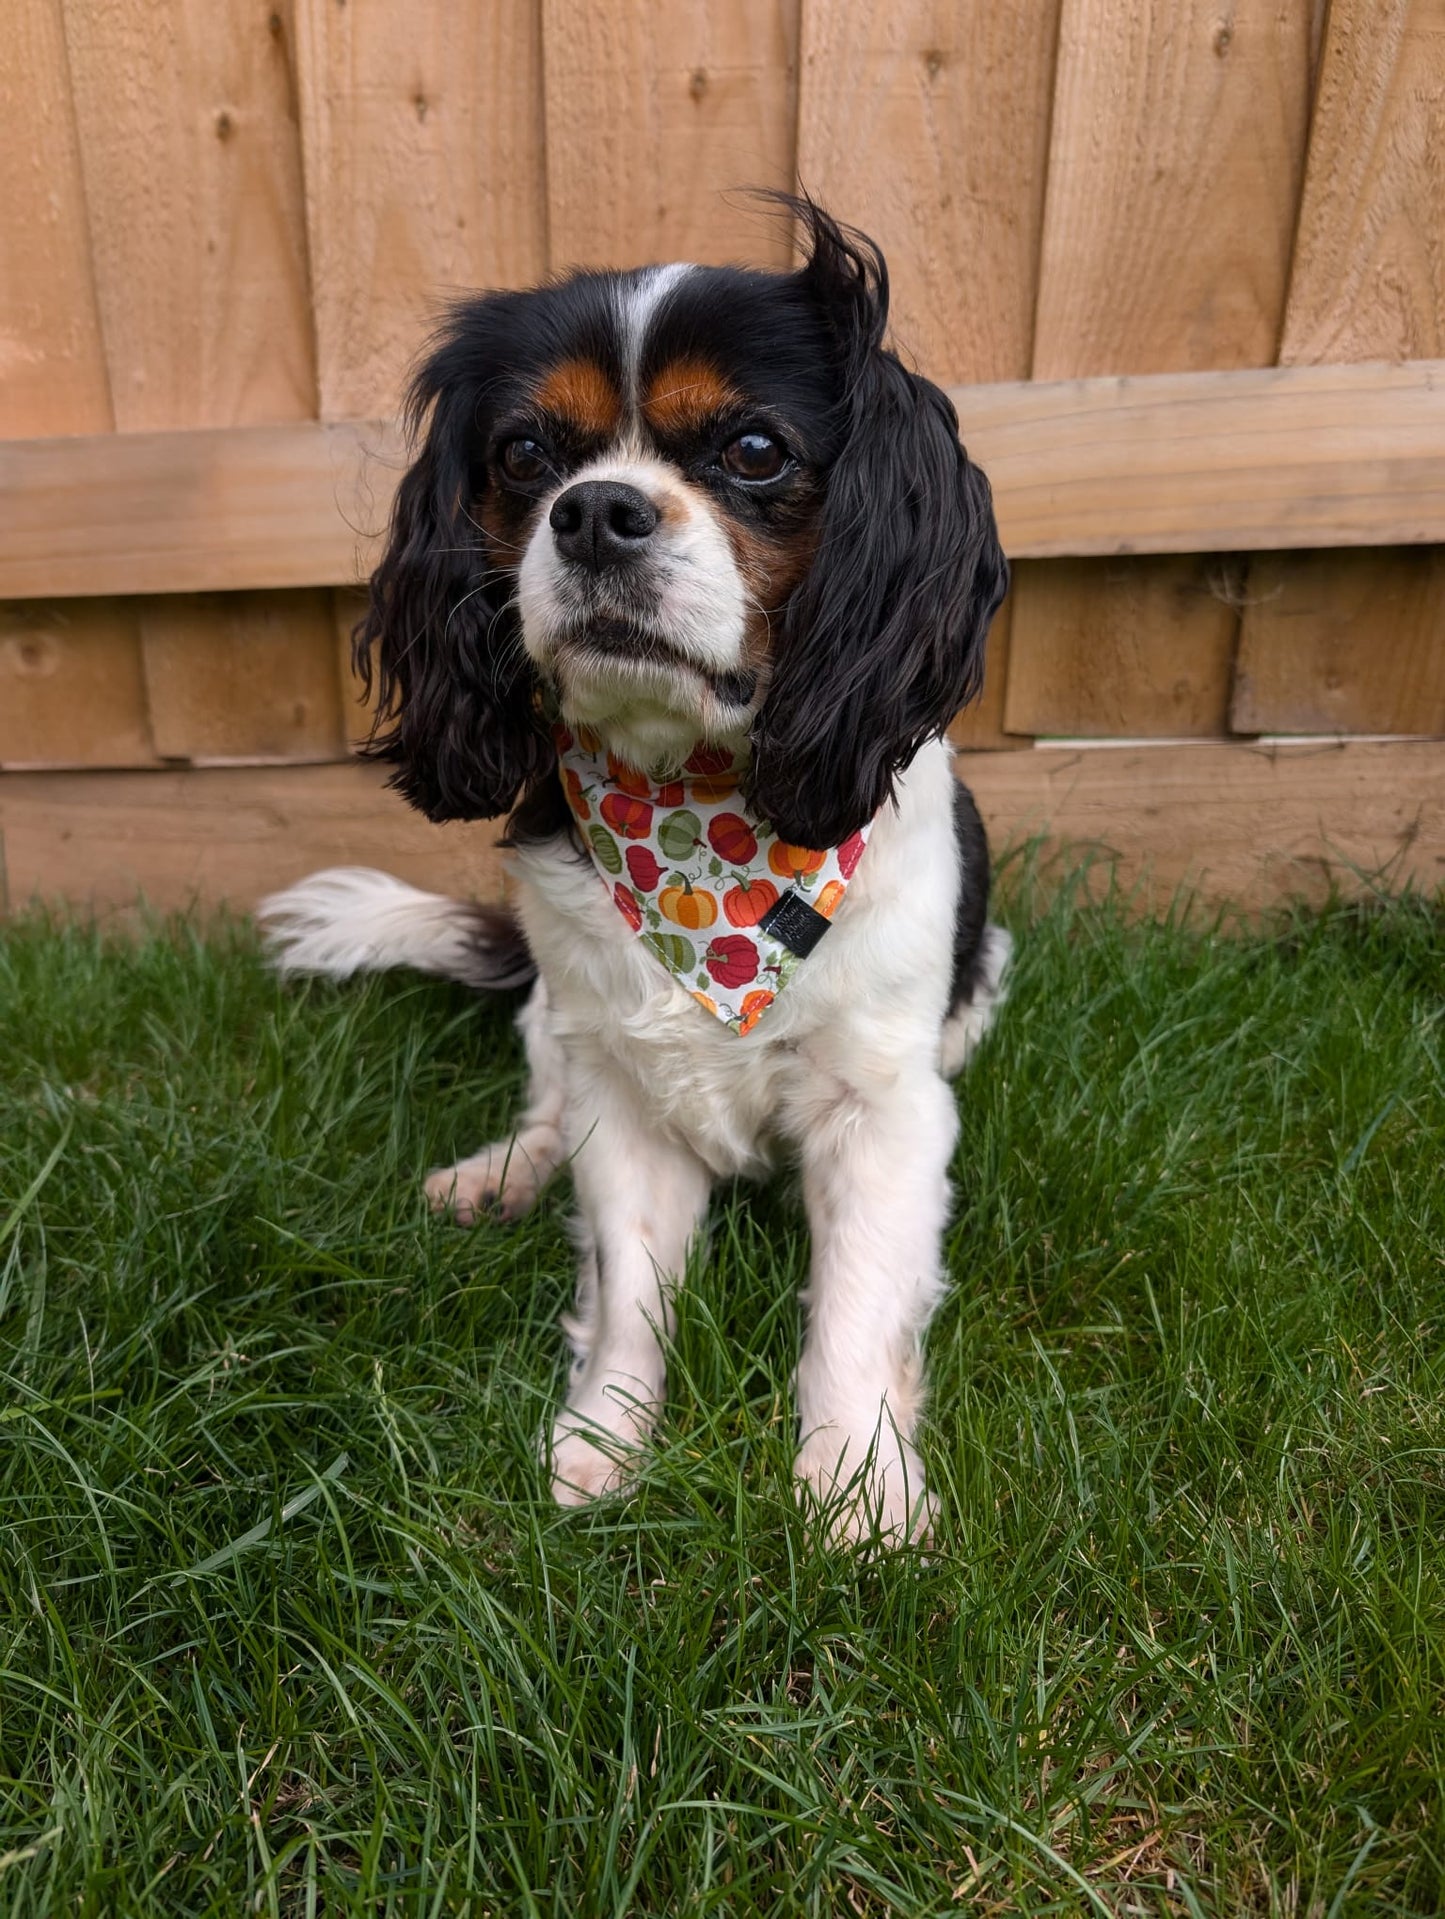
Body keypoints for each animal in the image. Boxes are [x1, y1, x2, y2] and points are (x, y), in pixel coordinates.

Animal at [259, 198, 1005, 1542]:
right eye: (522, 453)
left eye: (754, 448)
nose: (595, 507)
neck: (700, 834)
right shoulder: (621, 1083)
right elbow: (626, 1287)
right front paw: (601, 1444)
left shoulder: (886, 1108)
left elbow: (856, 1308)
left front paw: (855, 1491)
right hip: (557, 1016)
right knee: (545, 1108)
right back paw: (497, 1175)